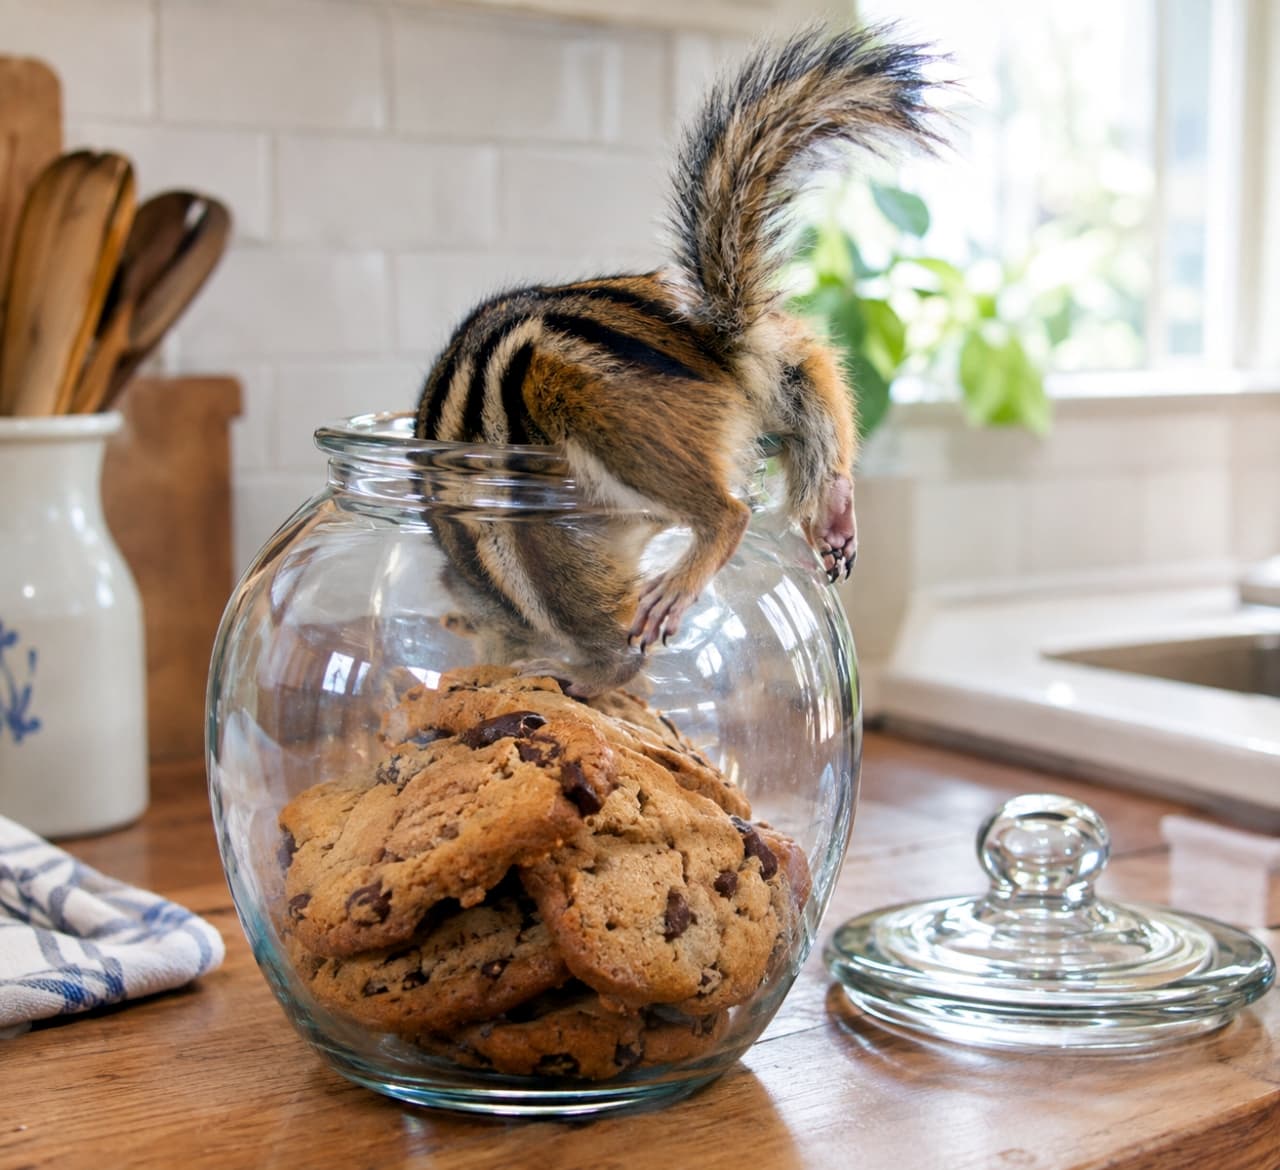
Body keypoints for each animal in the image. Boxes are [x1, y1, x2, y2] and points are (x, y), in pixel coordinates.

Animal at [415, 24, 940, 693]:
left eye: (462, 628)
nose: (480, 664)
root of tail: (722, 352)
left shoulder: (533, 553)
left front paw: (580, 667)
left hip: (600, 411)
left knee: (726, 513)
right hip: (780, 361)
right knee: (815, 382)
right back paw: (834, 515)